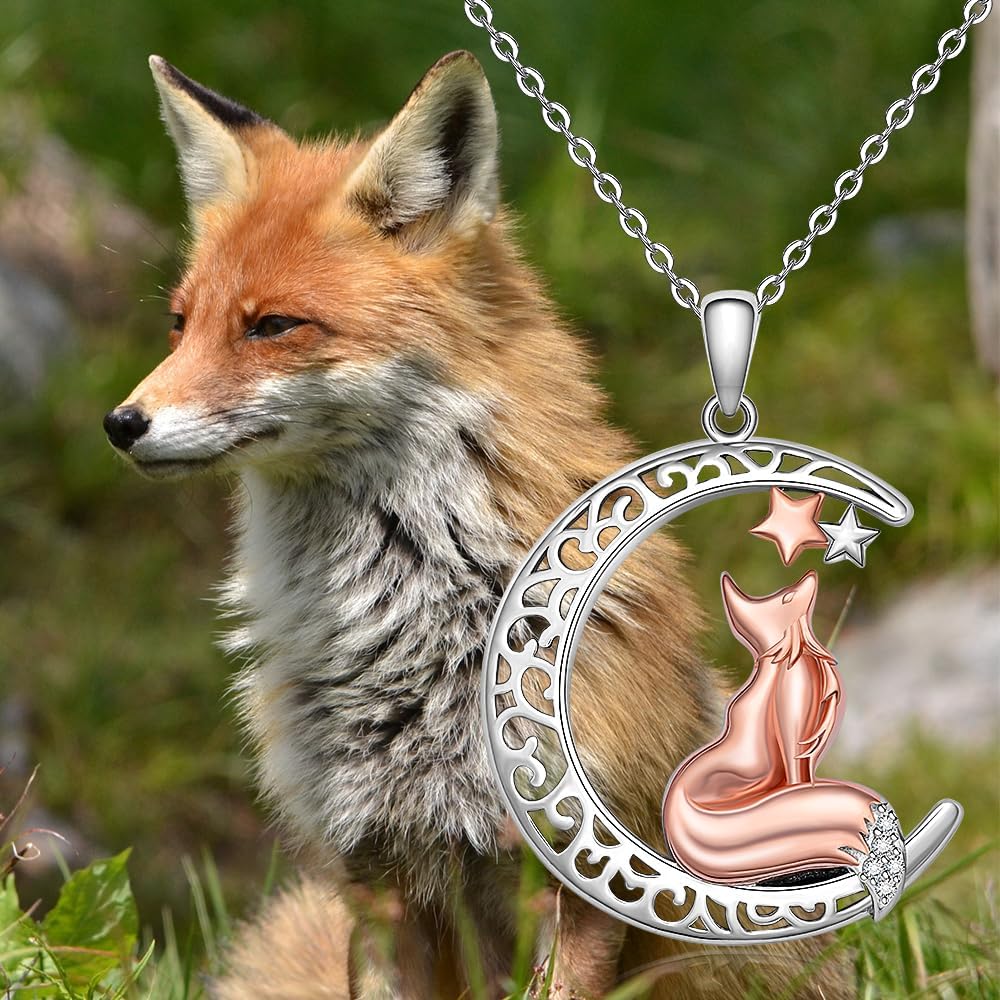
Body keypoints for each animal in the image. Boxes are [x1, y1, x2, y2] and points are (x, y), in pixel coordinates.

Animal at [104, 51, 854, 999]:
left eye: (272, 325)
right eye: (180, 323)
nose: (121, 423)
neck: (409, 634)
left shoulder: (581, 881)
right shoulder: (375, 874)